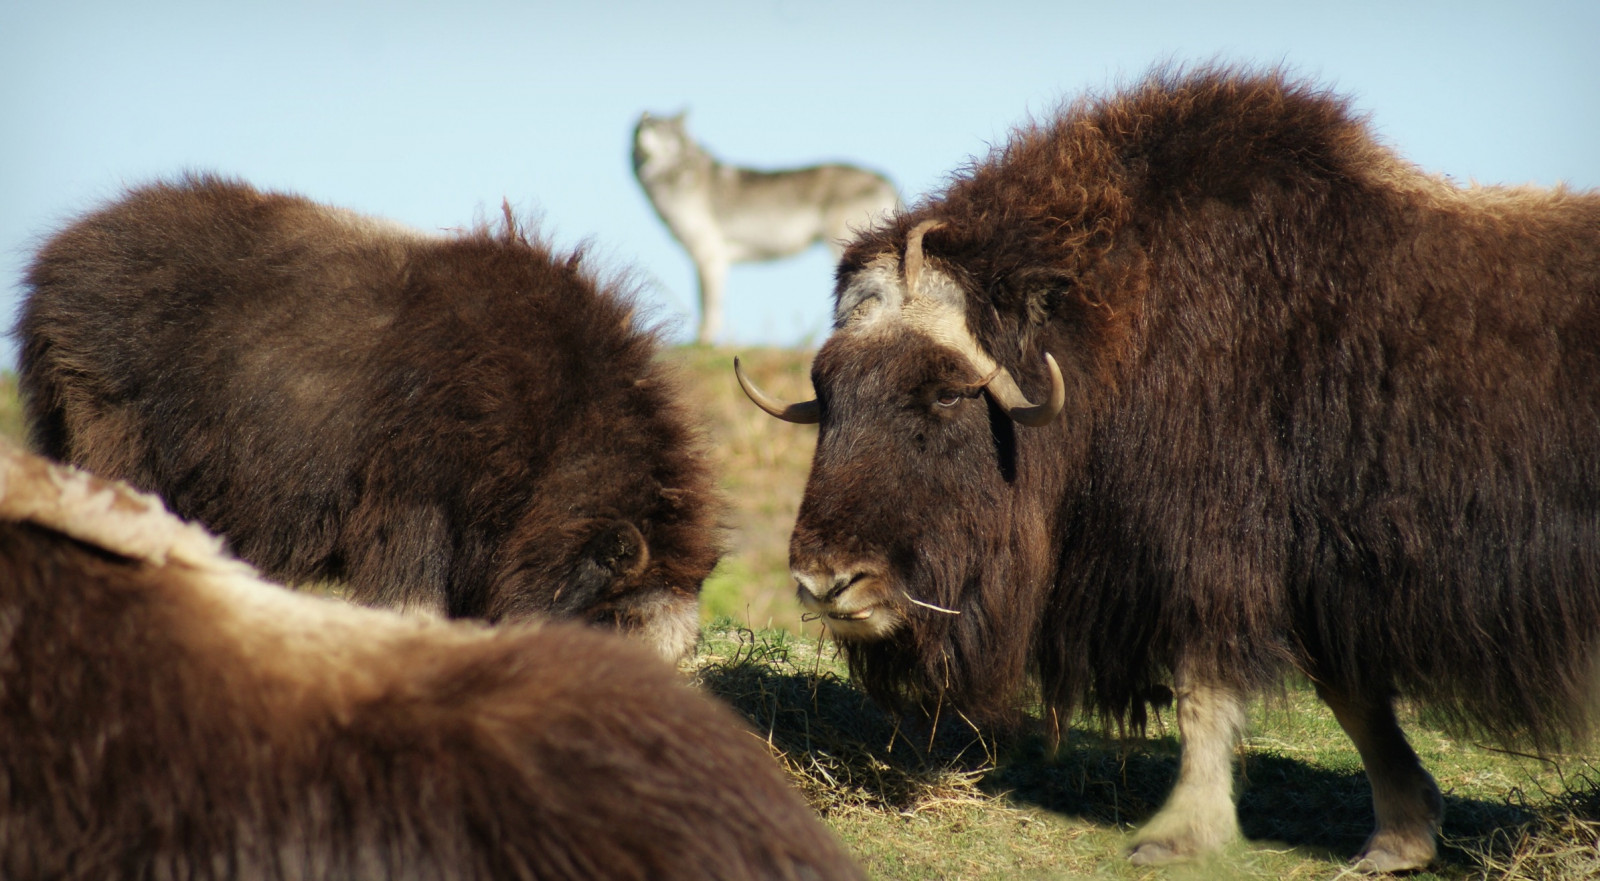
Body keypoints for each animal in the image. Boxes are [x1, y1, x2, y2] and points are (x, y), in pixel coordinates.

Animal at [737, 68, 1600, 871]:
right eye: (826, 389)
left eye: (948, 391)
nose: (826, 581)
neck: (1118, 321)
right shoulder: (1312, 566)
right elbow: (1351, 696)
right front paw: (1400, 837)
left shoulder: (1215, 547)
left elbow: (1206, 688)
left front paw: (1179, 835)